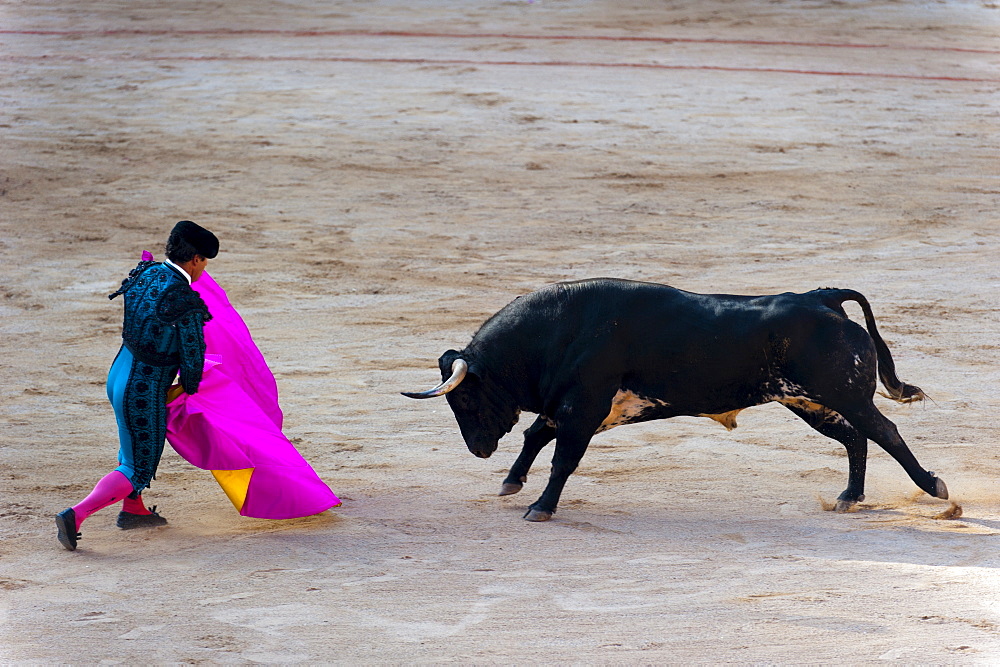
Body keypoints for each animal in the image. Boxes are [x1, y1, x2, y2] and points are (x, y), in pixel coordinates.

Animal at [402, 280, 948, 524]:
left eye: (465, 399)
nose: (478, 449)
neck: (559, 331)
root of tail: (821, 297)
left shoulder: (583, 408)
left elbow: (562, 458)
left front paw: (540, 506)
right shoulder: (582, 409)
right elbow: (538, 434)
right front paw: (511, 482)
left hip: (842, 395)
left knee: (884, 433)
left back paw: (937, 489)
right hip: (808, 402)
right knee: (856, 439)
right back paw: (850, 496)